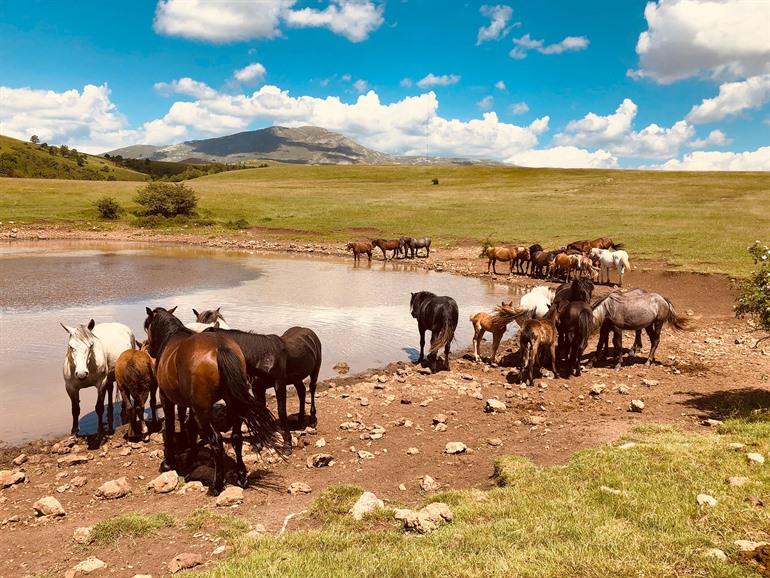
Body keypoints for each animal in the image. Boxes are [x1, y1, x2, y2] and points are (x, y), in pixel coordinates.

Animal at [144, 306, 280, 493]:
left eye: (147, 326)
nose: (149, 349)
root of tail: (220, 348)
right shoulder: (188, 405)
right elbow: (190, 428)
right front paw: (191, 456)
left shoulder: (167, 399)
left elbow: (171, 428)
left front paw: (168, 463)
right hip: (231, 403)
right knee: (236, 438)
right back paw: (241, 476)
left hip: (203, 410)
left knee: (216, 441)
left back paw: (217, 485)